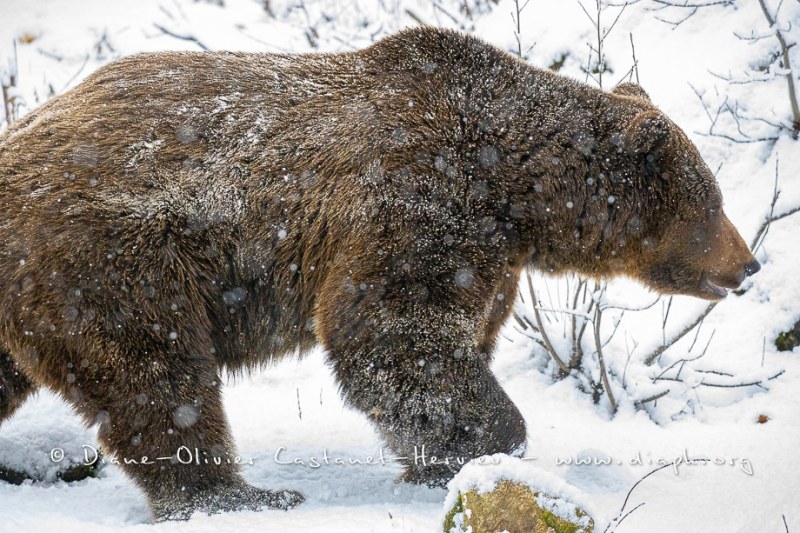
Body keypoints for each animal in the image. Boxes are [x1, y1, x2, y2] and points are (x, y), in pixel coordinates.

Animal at [0, 26, 760, 520]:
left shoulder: (489, 254)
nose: (748, 263)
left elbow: (444, 343)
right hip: (105, 258)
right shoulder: (420, 199)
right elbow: (390, 329)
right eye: (715, 201)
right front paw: (488, 441)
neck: (515, 192)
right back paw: (240, 494)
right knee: (157, 374)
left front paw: (437, 459)